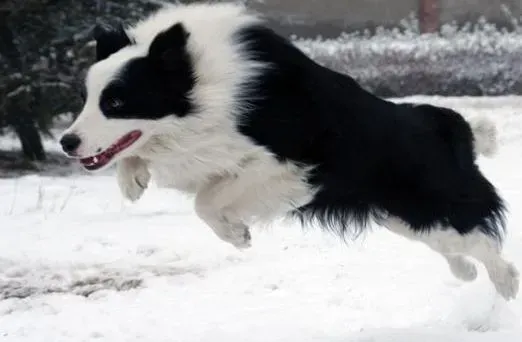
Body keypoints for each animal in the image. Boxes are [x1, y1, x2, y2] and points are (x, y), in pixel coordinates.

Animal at [60, 4, 516, 300]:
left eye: (116, 102)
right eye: (86, 98)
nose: (67, 142)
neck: (201, 87)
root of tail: (452, 127)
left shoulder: (288, 167)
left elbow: (206, 201)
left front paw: (238, 235)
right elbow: (149, 160)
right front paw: (133, 179)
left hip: (428, 206)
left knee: (480, 241)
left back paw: (506, 284)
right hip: (401, 217)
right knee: (455, 245)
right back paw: (465, 272)